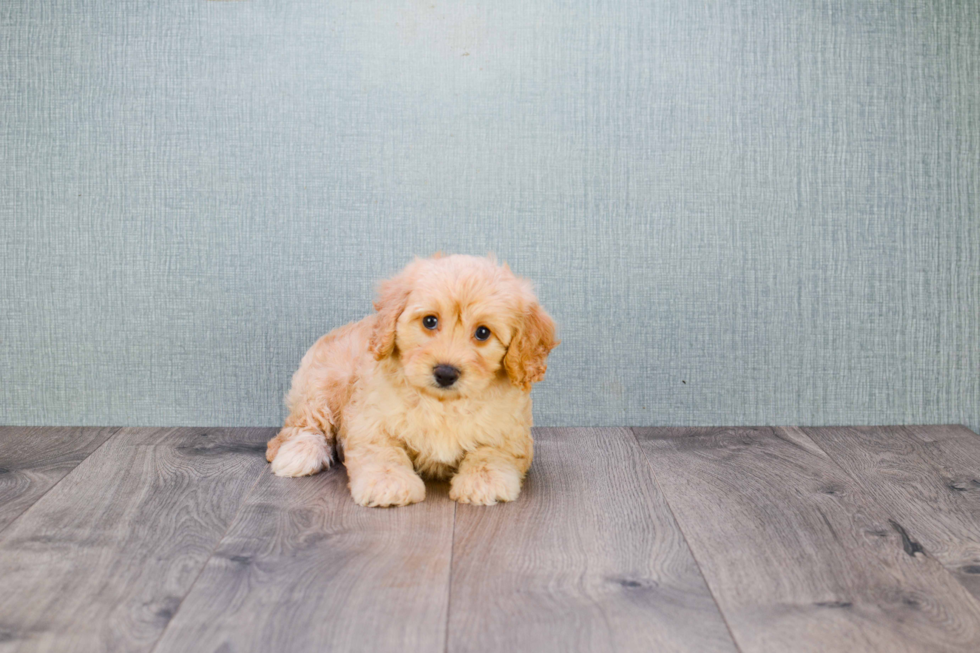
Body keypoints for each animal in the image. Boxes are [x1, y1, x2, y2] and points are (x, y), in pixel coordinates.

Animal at [266, 252, 560, 506]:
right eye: (430, 321)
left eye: (483, 333)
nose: (445, 373)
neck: (443, 403)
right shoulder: (369, 420)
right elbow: (382, 451)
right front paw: (387, 482)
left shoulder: (510, 432)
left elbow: (492, 453)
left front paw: (484, 480)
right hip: (321, 381)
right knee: (302, 425)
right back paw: (298, 453)